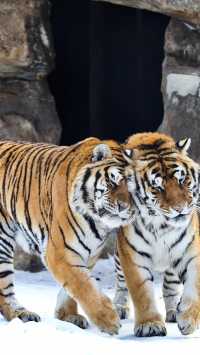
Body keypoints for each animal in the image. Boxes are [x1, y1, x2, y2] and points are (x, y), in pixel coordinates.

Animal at [0, 138, 135, 336]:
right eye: (113, 181)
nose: (124, 207)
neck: (97, 221)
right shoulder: (59, 252)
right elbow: (82, 285)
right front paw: (109, 320)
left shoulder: (88, 251)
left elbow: (74, 286)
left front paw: (68, 316)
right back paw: (21, 314)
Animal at [112, 133, 200, 336]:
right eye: (157, 187)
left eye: (182, 180)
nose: (180, 209)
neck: (161, 226)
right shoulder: (133, 256)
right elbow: (141, 292)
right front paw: (150, 325)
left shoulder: (190, 252)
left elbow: (194, 287)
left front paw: (188, 319)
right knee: (121, 281)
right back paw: (120, 307)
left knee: (170, 285)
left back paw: (174, 311)